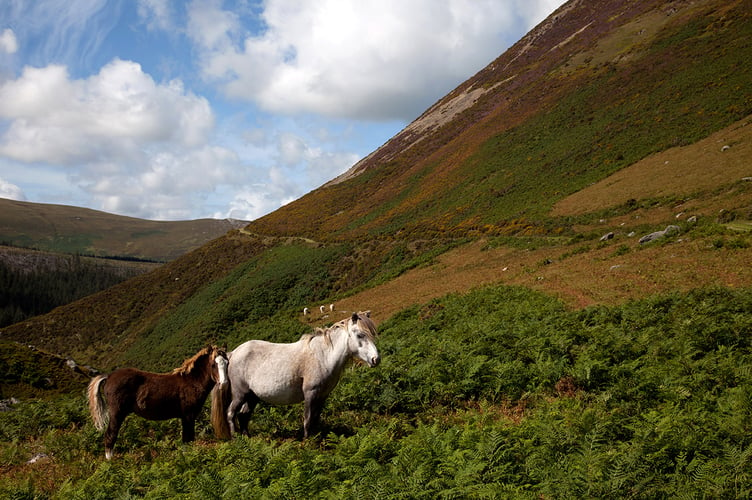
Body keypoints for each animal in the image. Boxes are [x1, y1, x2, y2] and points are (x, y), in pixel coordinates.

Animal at [86, 346, 228, 458]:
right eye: (213, 364)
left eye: (227, 362)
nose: (224, 384)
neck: (192, 381)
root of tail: (109, 376)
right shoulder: (188, 416)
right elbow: (187, 439)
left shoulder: (187, 417)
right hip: (117, 414)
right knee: (110, 436)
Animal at [212, 312, 378, 438]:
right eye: (360, 335)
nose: (376, 359)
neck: (323, 356)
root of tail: (233, 353)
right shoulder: (310, 393)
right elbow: (308, 419)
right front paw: (307, 441)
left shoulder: (322, 396)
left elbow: (316, 419)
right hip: (240, 394)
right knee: (231, 413)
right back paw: (236, 438)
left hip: (252, 396)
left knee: (243, 415)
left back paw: (247, 437)